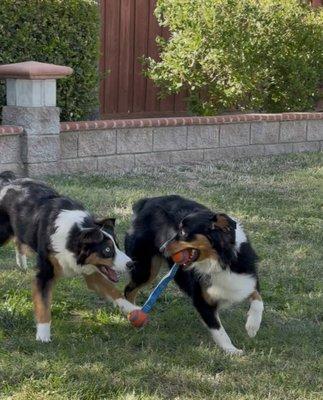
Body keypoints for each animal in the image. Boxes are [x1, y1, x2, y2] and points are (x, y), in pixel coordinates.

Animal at [0, 170, 138, 342]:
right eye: (107, 250)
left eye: (118, 246)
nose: (131, 264)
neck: (72, 235)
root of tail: (8, 179)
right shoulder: (45, 273)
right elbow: (43, 305)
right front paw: (43, 335)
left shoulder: (92, 272)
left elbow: (113, 291)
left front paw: (133, 309)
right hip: (3, 233)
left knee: (19, 240)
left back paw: (22, 263)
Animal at [125, 195, 264, 354]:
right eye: (177, 230)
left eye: (184, 233)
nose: (161, 248)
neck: (221, 262)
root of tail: (146, 201)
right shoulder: (201, 300)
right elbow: (219, 331)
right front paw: (232, 350)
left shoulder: (248, 279)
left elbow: (258, 300)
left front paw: (252, 326)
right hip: (145, 269)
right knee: (128, 290)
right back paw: (133, 313)